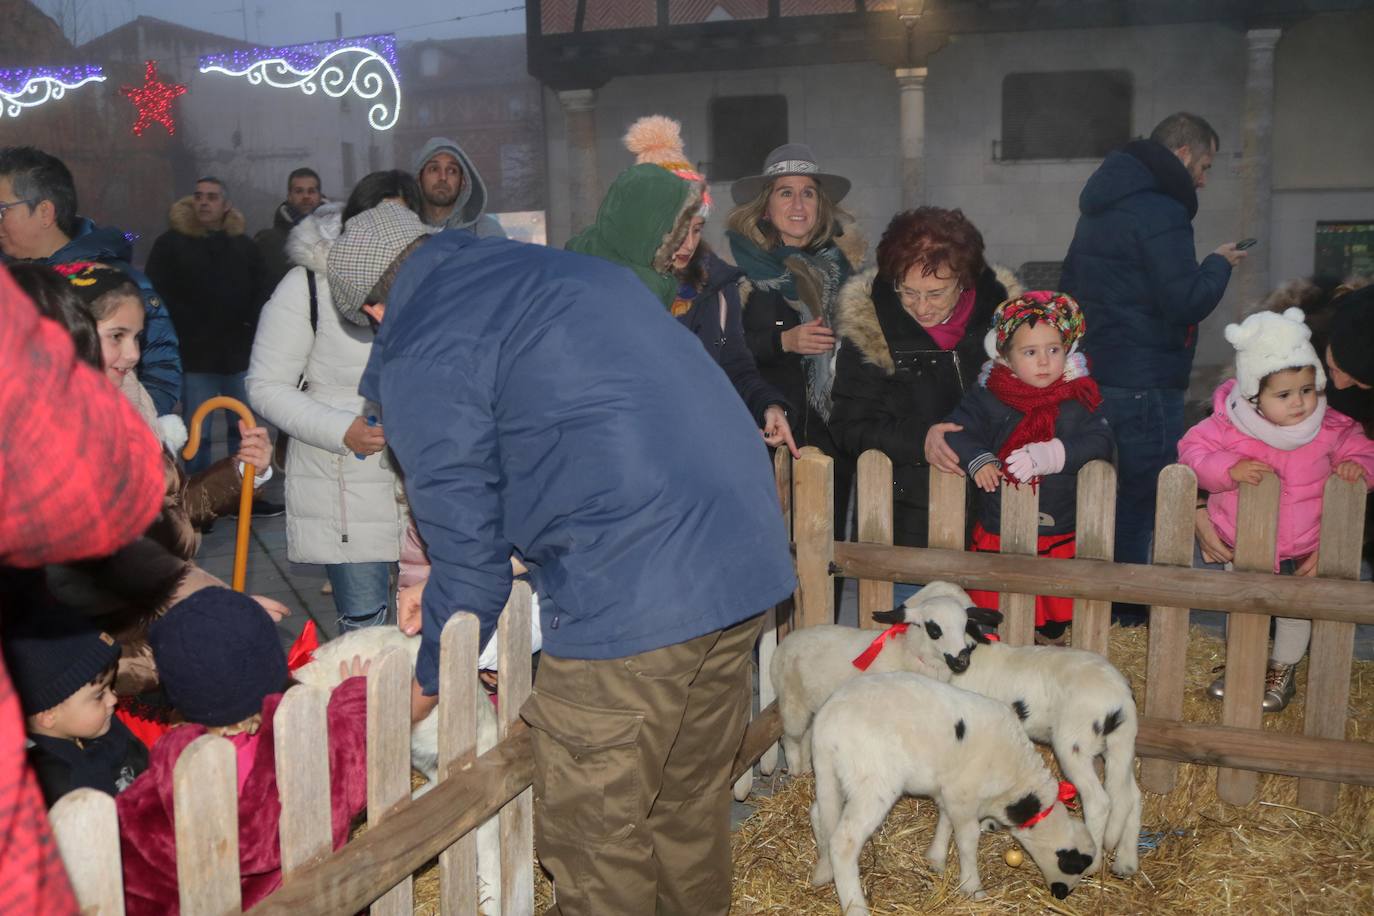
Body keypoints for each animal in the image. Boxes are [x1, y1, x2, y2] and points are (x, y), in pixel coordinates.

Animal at [774, 579, 1000, 774]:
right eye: (934, 629)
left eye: (965, 625)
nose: (962, 660)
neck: (909, 654)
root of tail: (786, 641)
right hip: (792, 701)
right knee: (791, 737)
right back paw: (794, 770)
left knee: (806, 735)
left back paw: (805, 769)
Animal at [802, 670, 1093, 911]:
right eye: (1073, 864)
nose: (1062, 894)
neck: (1017, 782)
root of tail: (827, 722)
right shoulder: (965, 795)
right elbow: (967, 840)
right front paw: (973, 887)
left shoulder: (951, 791)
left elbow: (945, 821)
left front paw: (936, 859)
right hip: (873, 783)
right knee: (844, 841)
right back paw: (855, 906)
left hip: (833, 775)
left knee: (819, 813)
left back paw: (823, 871)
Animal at [873, 604, 1143, 878]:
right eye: (933, 628)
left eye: (958, 625)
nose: (960, 661)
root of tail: (1120, 699)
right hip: (1120, 745)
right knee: (1130, 796)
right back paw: (1126, 861)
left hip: (1074, 745)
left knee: (1099, 801)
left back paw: (1094, 862)